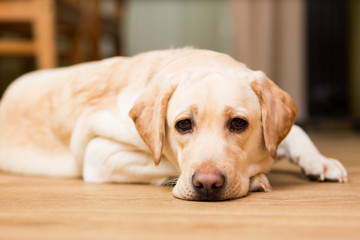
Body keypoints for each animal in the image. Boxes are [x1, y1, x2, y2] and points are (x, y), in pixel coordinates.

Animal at [0, 48, 348, 201]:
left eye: (238, 123)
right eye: (183, 125)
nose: (207, 184)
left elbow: (296, 132)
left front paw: (320, 160)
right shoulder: (99, 154)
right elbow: (165, 162)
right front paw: (258, 177)